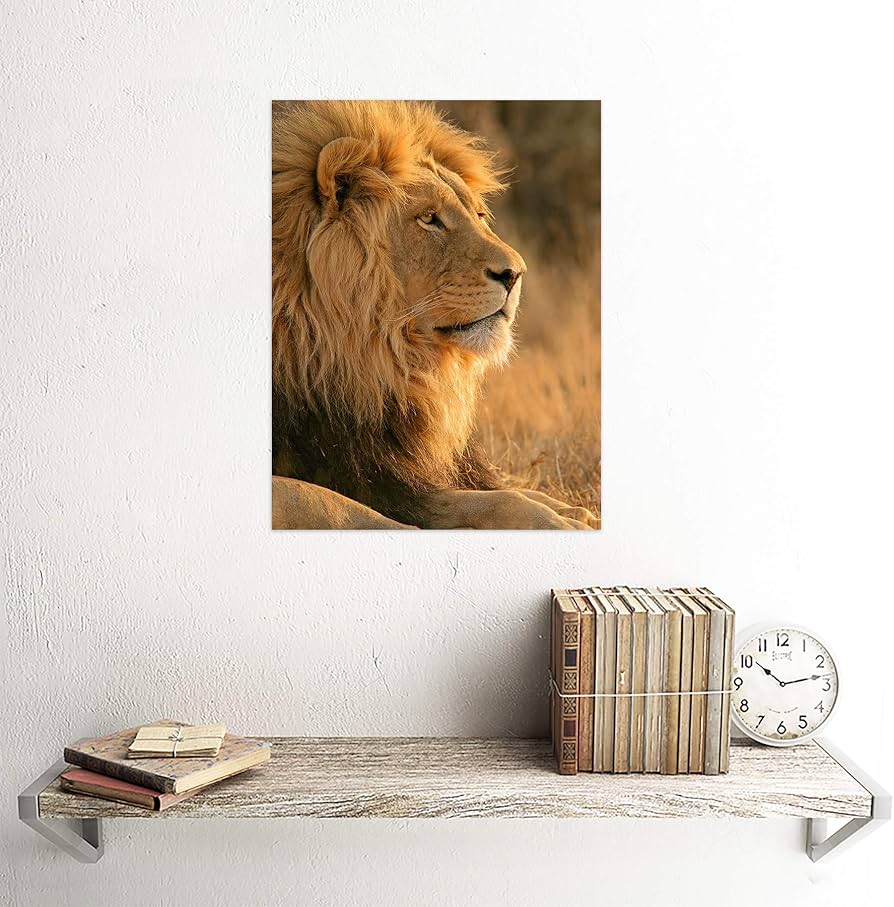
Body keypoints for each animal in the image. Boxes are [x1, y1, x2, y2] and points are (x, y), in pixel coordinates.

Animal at [272, 101, 598, 529]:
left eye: (479, 215)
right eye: (429, 218)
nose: (516, 274)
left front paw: (571, 510)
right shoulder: (370, 477)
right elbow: (335, 502)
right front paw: (561, 521)